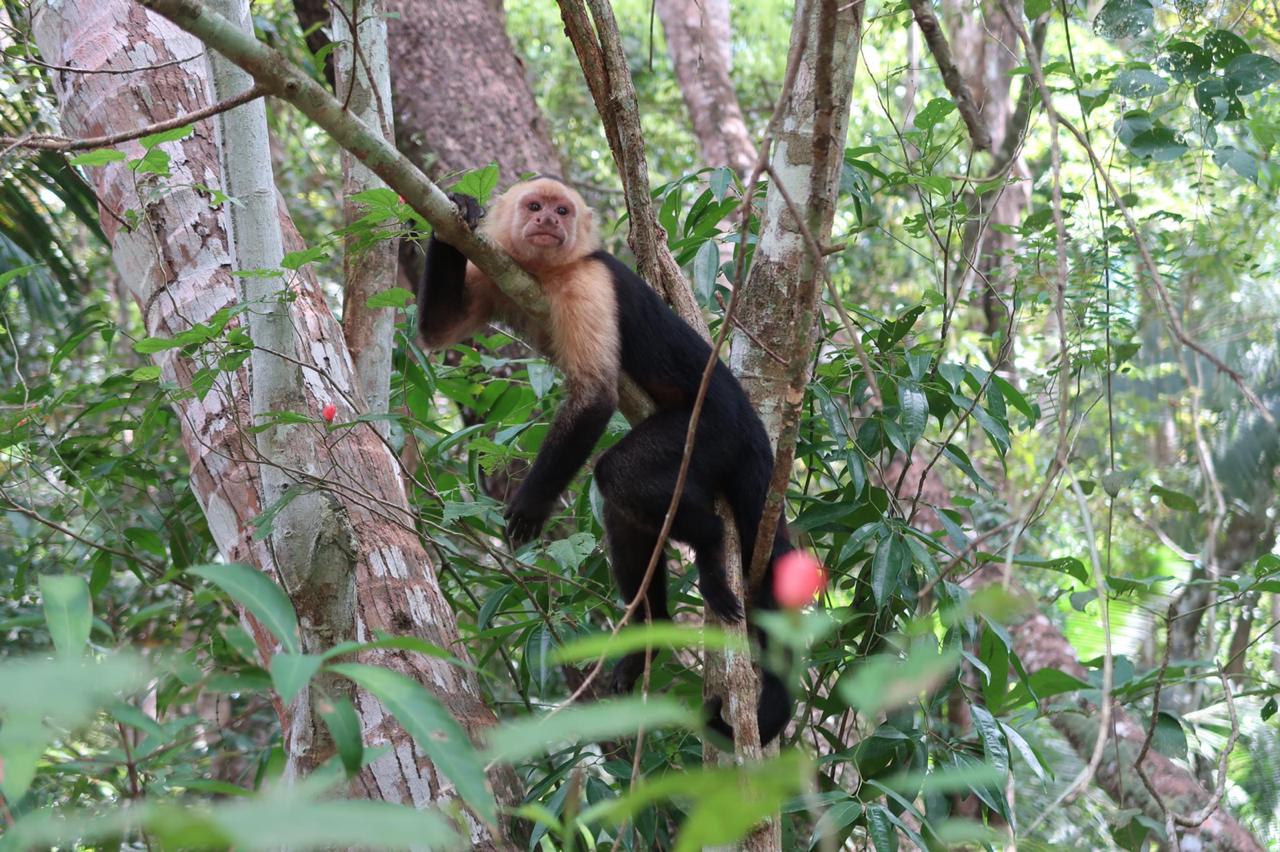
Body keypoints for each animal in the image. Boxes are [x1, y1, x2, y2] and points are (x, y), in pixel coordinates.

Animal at [417, 176, 794, 745]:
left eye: (562, 211)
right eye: (534, 206)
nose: (546, 221)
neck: (547, 272)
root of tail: (752, 422)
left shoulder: (588, 281)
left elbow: (595, 396)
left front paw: (530, 504)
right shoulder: (497, 271)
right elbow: (439, 331)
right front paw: (458, 209)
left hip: (712, 430)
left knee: (618, 476)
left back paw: (707, 544)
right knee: (626, 512)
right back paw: (649, 636)